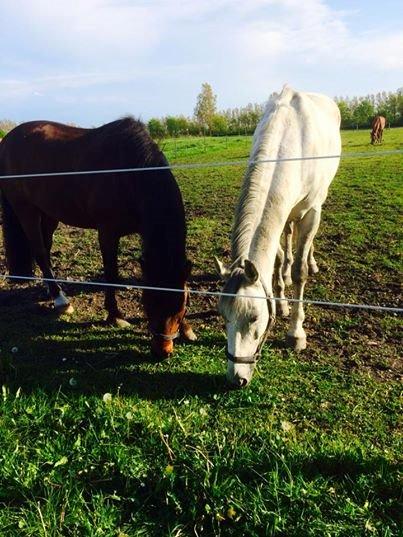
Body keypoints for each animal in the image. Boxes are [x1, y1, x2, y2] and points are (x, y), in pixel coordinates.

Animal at [0, 116, 197, 356]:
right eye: (148, 304)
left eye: (181, 308)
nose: (162, 352)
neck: (129, 173)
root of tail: (8, 140)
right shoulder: (108, 233)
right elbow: (111, 274)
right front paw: (115, 316)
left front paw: (187, 328)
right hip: (26, 210)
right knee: (39, 251)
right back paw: (60, 299)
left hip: (48, 213)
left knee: (45, 249)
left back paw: (51, 292)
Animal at [215, 85, 340, 386]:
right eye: (223, 316)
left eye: (254, 318)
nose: (236, 378)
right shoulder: (279, 210)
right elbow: (277, 259)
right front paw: (281, 301)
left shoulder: (311, 212)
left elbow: (300, 272)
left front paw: (296, 333)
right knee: (287, 239)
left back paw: (312, 263)